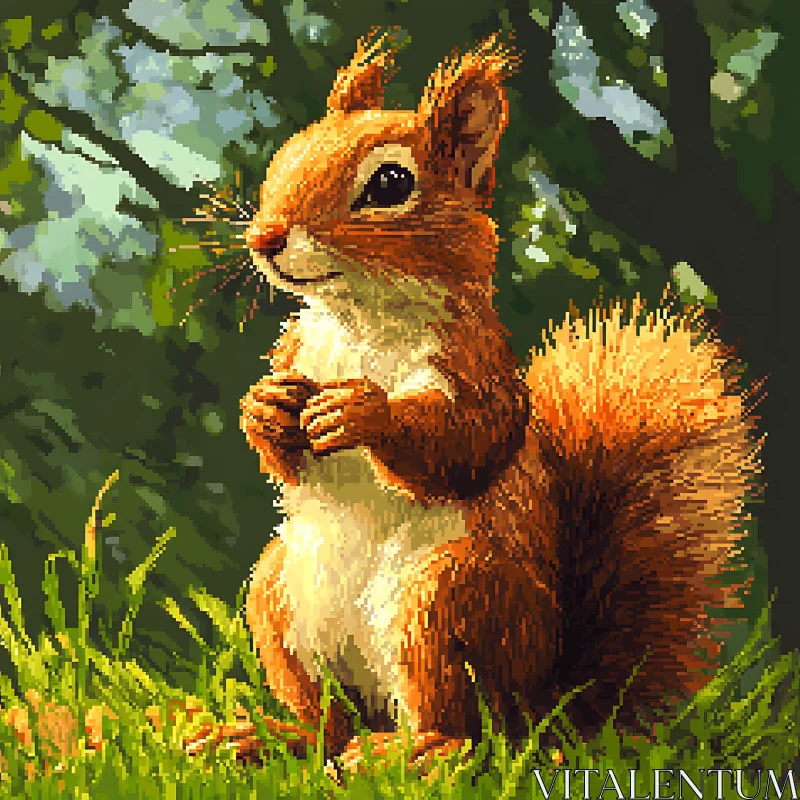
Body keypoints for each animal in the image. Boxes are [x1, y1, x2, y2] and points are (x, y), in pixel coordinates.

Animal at [230, 29, 761, 771]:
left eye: (390, 183)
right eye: (289, 151)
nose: (265, 236)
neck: (360, 316)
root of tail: (548, 707)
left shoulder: (479, 368)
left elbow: (468, 441)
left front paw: (365, 411)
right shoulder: (296, 350)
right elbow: (284, 458)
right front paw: (263, 407)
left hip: (453, 604)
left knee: (472, 733)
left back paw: (413, 754)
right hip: (282, 598)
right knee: (330, 724)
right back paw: (269, 738)